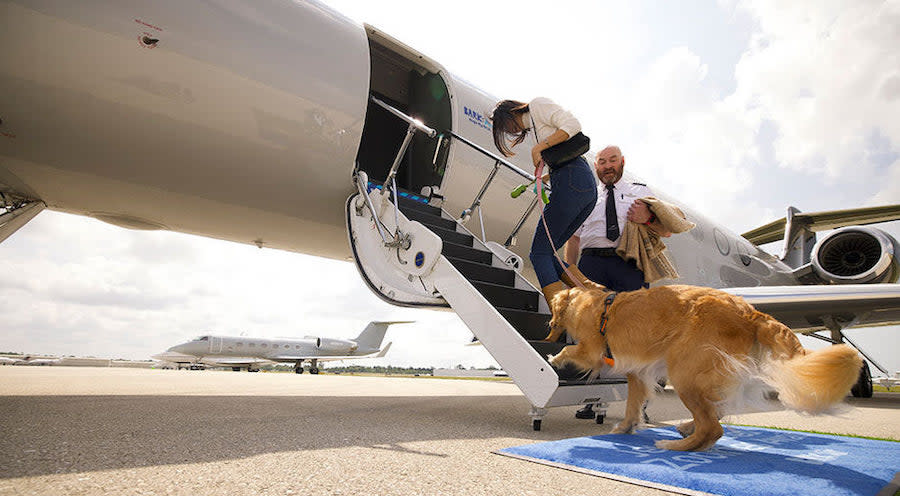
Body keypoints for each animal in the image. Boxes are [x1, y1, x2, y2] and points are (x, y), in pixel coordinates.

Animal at [544, 284, 860, 452]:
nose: (549, 325)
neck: (589, 302)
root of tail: (750, 312)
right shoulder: (639, 372)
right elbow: (634, 403)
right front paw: (625, 426)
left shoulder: (592, 350)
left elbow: (571, 350)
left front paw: (554, 358)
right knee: (715, 412)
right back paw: (686, 428)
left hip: (686, 372)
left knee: (713, 427)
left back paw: (675, 446)